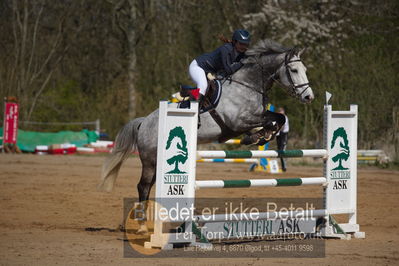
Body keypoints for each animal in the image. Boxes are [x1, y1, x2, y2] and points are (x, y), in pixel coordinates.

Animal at [98, 38, 314, 205]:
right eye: (294, 70)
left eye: (304, 68)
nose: (309, 97)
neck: (248, 84)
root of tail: (144, 122)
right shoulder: (239, 122)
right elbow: (266, 123)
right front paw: (255, 137)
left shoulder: (259, 114)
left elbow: (279, 118)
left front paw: (264, 136)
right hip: (150, 159)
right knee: (143, 185)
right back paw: (142, 221)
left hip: (159, 160)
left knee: (150, 184)